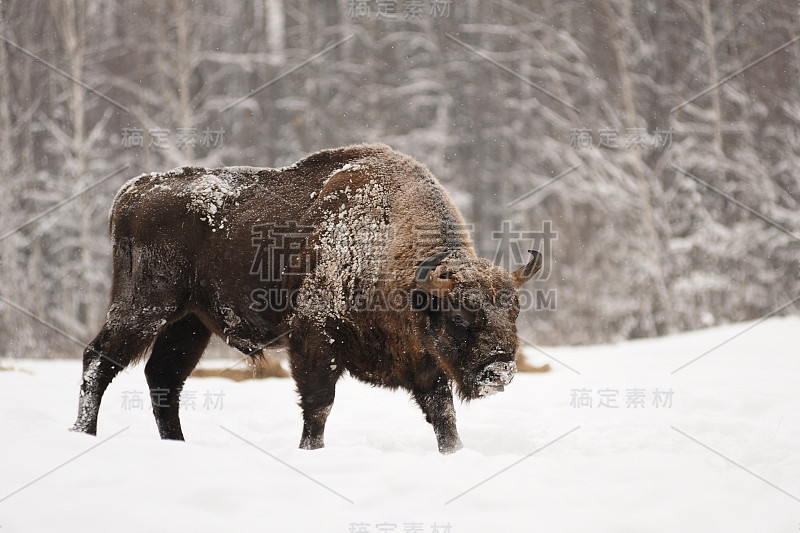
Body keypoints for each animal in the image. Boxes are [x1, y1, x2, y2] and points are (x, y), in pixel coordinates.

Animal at [72, 143, 540, 450]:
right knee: (99, 361)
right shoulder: (314, 340)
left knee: (163, 378)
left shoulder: (423, 362)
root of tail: (133, 191)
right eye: (459, 317)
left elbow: (443, 414)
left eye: (514, 313)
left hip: (190, 323)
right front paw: (310, 451)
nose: (500, 370)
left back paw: (177, 445)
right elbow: (318, 405)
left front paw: (454, 454)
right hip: (145, 307)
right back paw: (83, 434)